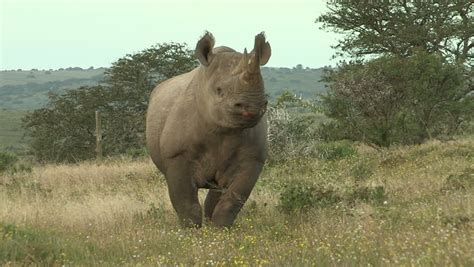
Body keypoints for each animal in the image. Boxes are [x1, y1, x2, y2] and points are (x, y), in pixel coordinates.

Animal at [145, 31, 270, 228]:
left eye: (263, 88)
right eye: (219, 90)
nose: (252, 105)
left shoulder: (253, 159)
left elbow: (232, 201)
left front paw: (221, 230)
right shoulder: (176, 156)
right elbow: (186, 203)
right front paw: (191, 231)